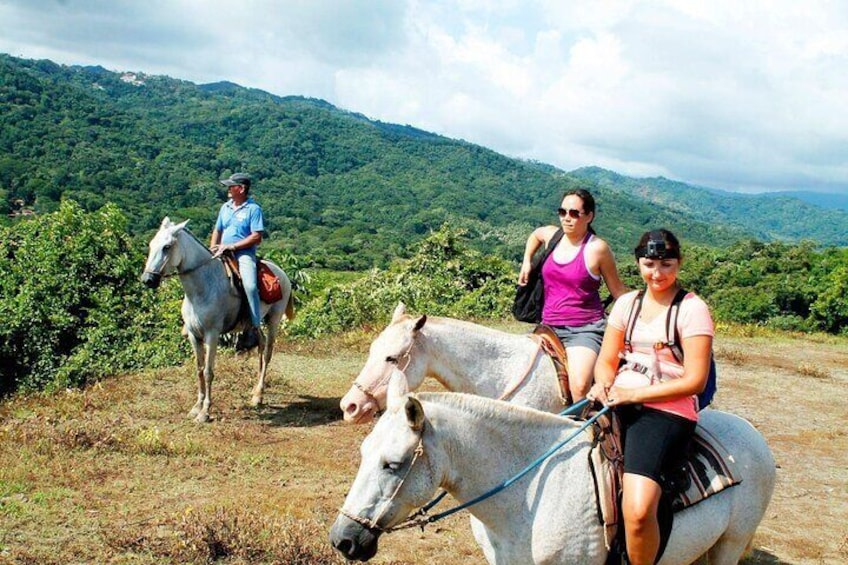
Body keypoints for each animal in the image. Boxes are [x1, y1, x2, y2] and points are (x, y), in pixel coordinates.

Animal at [141, 218, 294, 420]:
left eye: (167, 247)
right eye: (151, 244)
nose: (147, 280)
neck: (203, 287)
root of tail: (282, 273)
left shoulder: (211, 335)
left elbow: (208, 372)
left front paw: (205, 412)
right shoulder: (194, 335)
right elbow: (198, 369)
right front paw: (196, 406)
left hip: (274, 320)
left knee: (268, 353)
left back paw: (259, 394)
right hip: (256, 323)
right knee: (260, 346)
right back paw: (255, 394)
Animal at [330, 372, 776, 560]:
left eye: (393, 464)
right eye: (364, 454)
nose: (343, 540)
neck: (526, 502)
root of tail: (752, 435)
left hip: (730, 543)